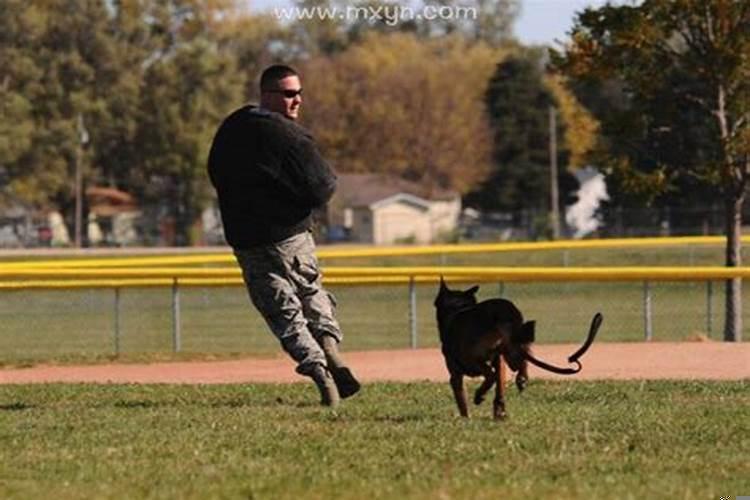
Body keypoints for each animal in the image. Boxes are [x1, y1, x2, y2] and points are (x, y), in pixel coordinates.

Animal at [434, 280, 604, 420]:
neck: (458, 309)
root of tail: (505, 314)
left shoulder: (456, 373)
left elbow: (462, 399)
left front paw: (465, 418)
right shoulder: (499, 361)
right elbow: (499, 387)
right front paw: (499, 411)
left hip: (478, 355)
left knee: (491, 374)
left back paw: (480, 395)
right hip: (514, 347)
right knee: (521, 362)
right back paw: (521, 380)